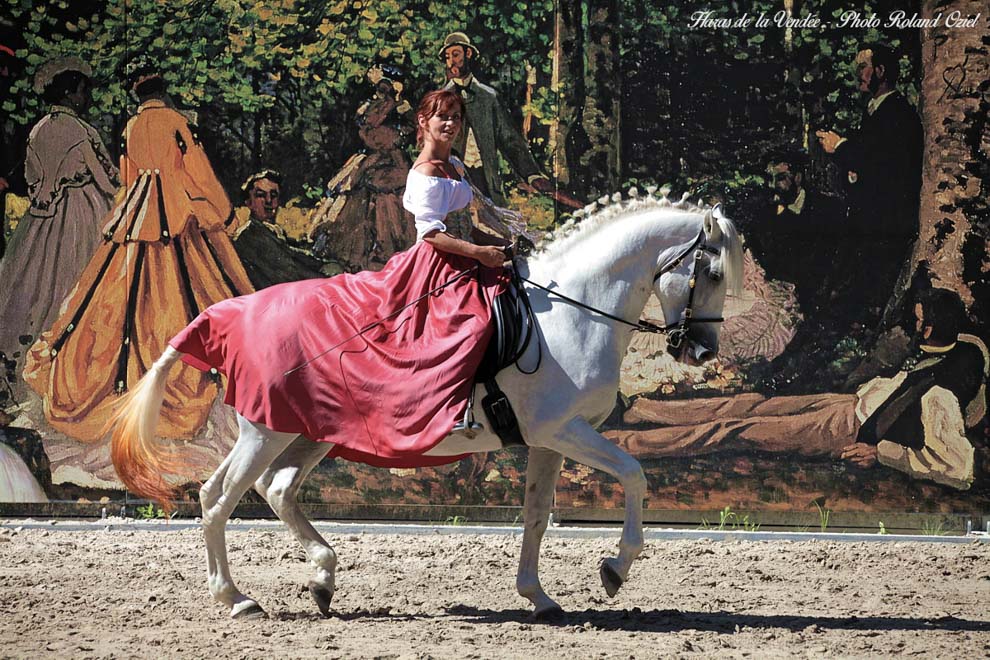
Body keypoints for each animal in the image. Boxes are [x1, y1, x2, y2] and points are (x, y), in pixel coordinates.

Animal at [110, 191, 744, 620]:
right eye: (712, 271)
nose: (701, 350)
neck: (576, 308)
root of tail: (231, 313)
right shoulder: (564, 431)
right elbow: (635, 474)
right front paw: (614, 569)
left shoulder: (547, 439)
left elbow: (537, 515)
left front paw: (538, 597)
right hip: (264, 432)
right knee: (220, 498)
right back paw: (237, 599)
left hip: (306, 432)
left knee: (271, 490)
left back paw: (322, 578)